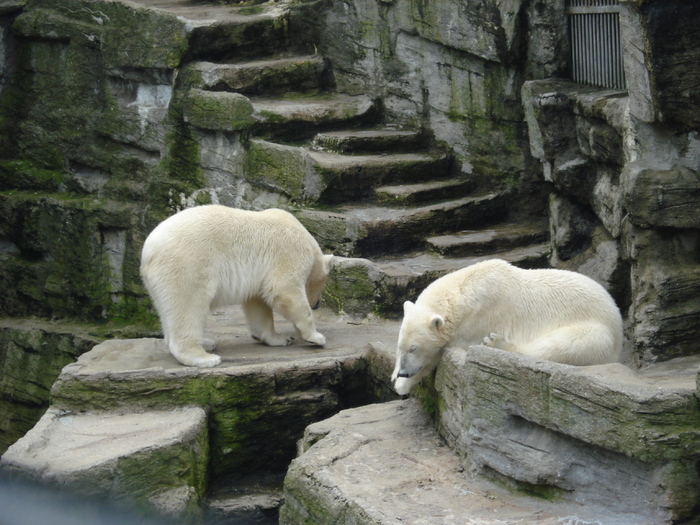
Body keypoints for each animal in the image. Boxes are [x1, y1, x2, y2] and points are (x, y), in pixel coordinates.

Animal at [140, 205, 333, 368]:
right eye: (323, 285)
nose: (317, 304)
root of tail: (148, 252)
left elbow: (258, 305)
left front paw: (280, 339)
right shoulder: (290, 252)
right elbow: (284, 290)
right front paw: (316, 337)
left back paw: (207, 343)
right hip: (187, 265)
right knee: (189, 306)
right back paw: (204, 357)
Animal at [391, 259, 623, 395]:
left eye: (414, 348)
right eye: (400, 347)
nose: (403, 373)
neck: (463, 289)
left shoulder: (478, 317)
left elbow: (439, 353)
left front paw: (402, 385)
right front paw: (395, 376)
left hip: (595, 330)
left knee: (558, 345)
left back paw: (497, 343)